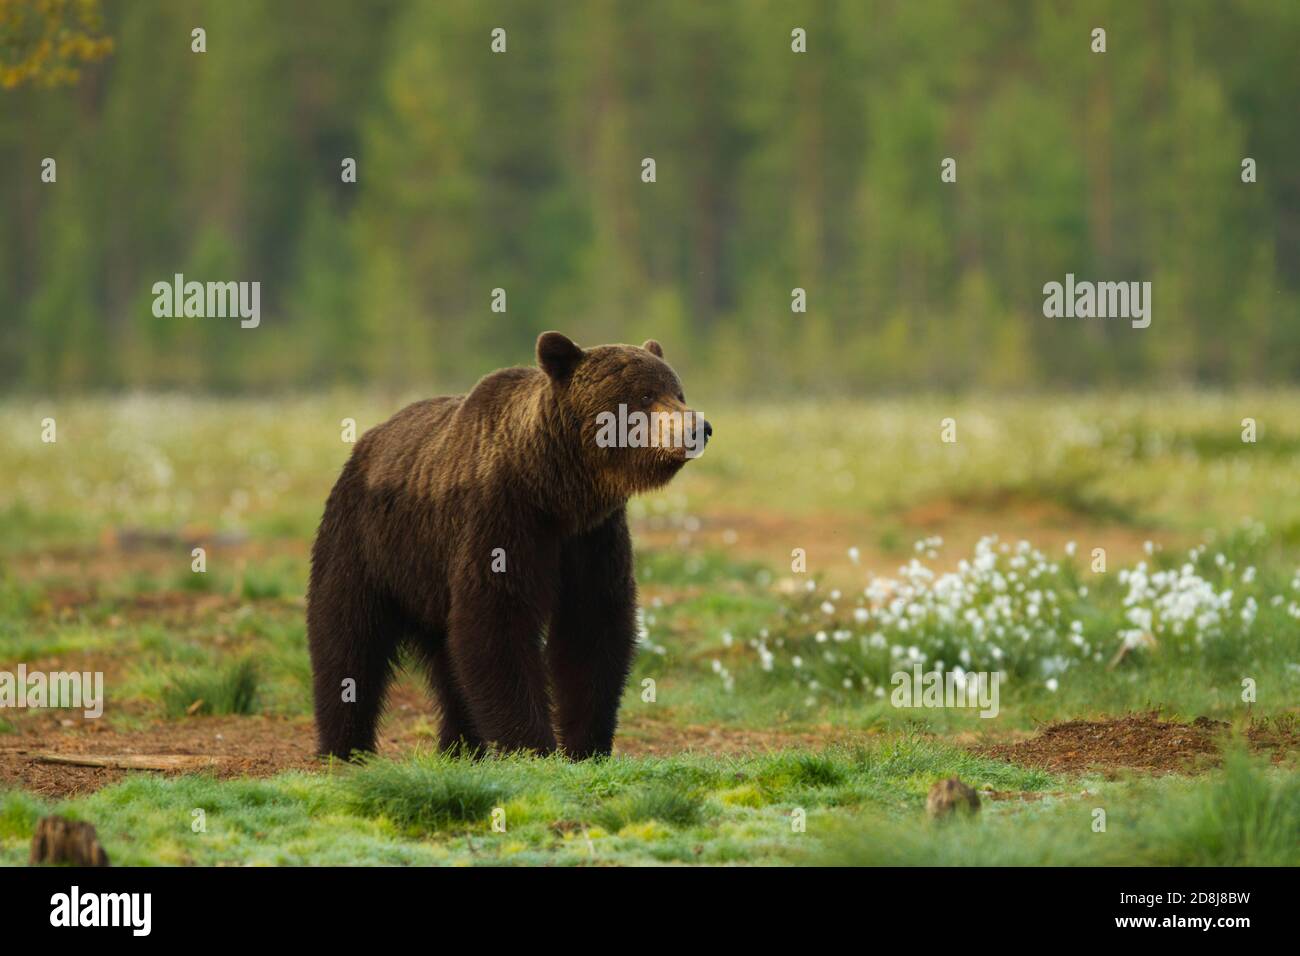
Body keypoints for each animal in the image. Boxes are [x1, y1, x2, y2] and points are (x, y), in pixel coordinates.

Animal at [304, 332, 712, 759]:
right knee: (347, 640)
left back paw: (461, 746)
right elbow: (497, 625)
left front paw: (586, 745)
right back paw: (345, 747)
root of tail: (368, 441)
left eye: (678, 392)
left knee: (447, 657)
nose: (699, 427)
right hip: (368, 543)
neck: (558, 492)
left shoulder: (592, 538)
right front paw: (533, 745)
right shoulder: (501, 522)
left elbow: (592, 628)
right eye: (645, 395)